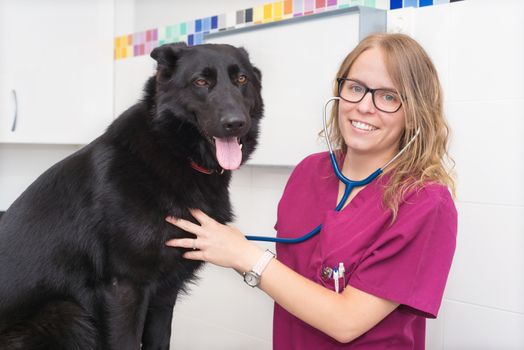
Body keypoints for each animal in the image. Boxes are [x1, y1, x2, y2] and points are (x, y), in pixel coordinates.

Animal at [0, 42, 262, 348]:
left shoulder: (164, 293)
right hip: (68, 314)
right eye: (201, 82)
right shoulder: (125, 287)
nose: (236, 123)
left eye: (241, 79)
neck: (172, 148)